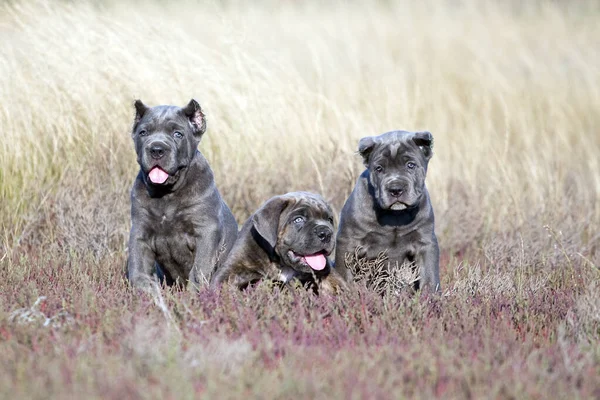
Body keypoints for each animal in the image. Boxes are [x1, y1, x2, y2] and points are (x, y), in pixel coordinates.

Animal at [126, 99, 237, 290]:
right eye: (143, 132)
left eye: (178, 134)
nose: (156, 149)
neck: (167, 194)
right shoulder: (140, 231)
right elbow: (138, 268)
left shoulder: (206, 231)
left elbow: (199, 270)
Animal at [212, 191, 346, 294]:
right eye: (298, 220)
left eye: (329, 220)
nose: (326, 233)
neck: (281, 263)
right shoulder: (231, 271)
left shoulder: (328, 274)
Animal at [336, 130, 438, 290]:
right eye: (379, 168)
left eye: (410, 165)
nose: (395, 189)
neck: (395, 215)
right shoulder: (348, 242)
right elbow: (344, 274)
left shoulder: (425, 243)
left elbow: (429, 276)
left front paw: (430, 295)